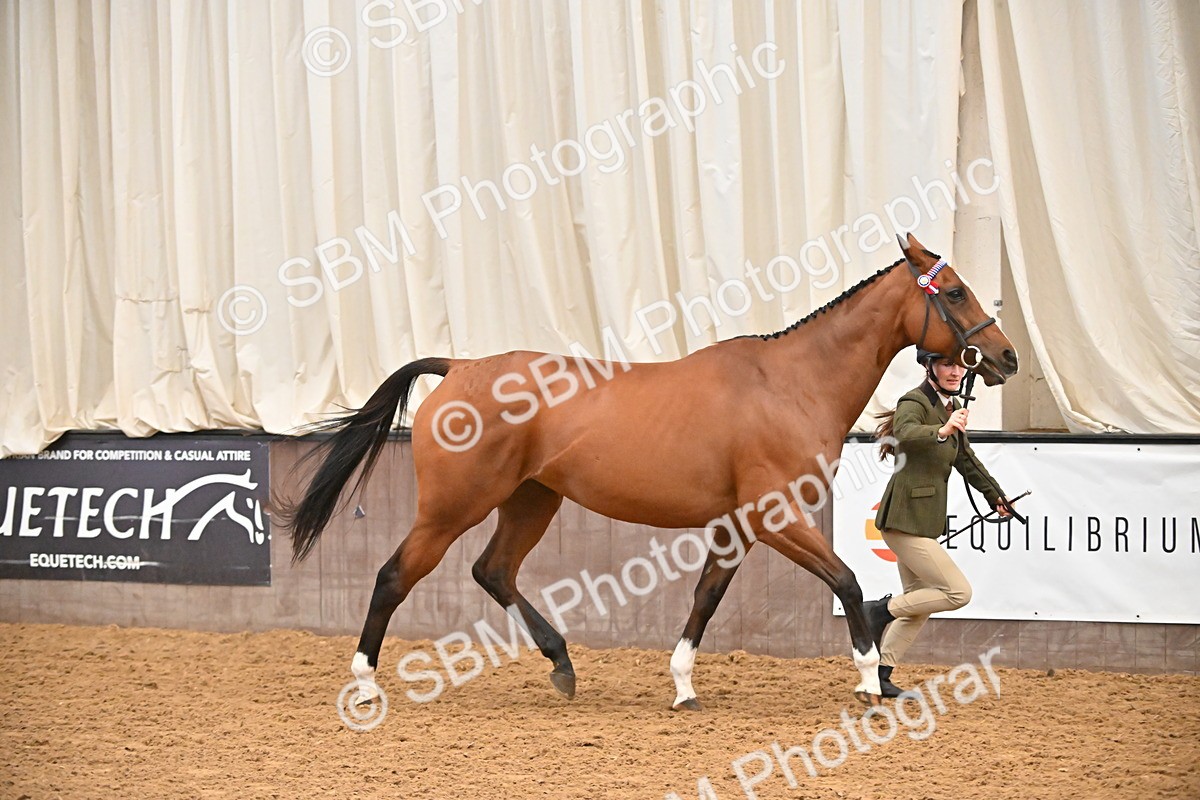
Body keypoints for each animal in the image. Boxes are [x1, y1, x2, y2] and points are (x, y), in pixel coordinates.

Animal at [277, 233, 1019, 710]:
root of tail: (461, 367)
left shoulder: (737, 524)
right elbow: (845, 580)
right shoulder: (776, 515)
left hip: (531, 500)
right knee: (393, 577)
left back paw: (563, 665)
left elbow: (705, 597)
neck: (789, 383)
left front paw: (684, 685)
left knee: (493, 570)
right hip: (453, 507)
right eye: (955, 292)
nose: (1006, 358)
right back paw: (367, 685)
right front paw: (869, 679)